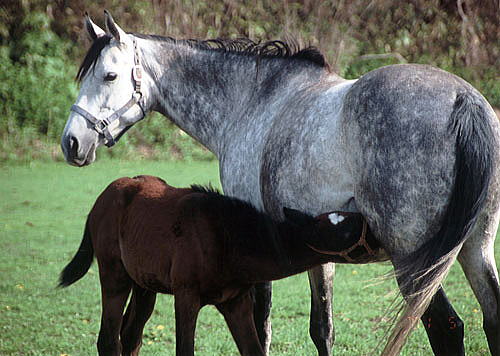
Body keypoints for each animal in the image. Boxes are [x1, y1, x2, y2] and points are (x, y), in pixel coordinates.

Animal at [59, 176, 382, 356]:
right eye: (347, 229)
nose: (377, 233)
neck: (225, 237)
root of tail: (102, 198)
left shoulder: (236, 302)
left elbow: (253, 351)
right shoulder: (186, 297)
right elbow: (185, 351)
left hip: (144, 286)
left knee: (130, 337)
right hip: (114, 275)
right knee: (108, 341)